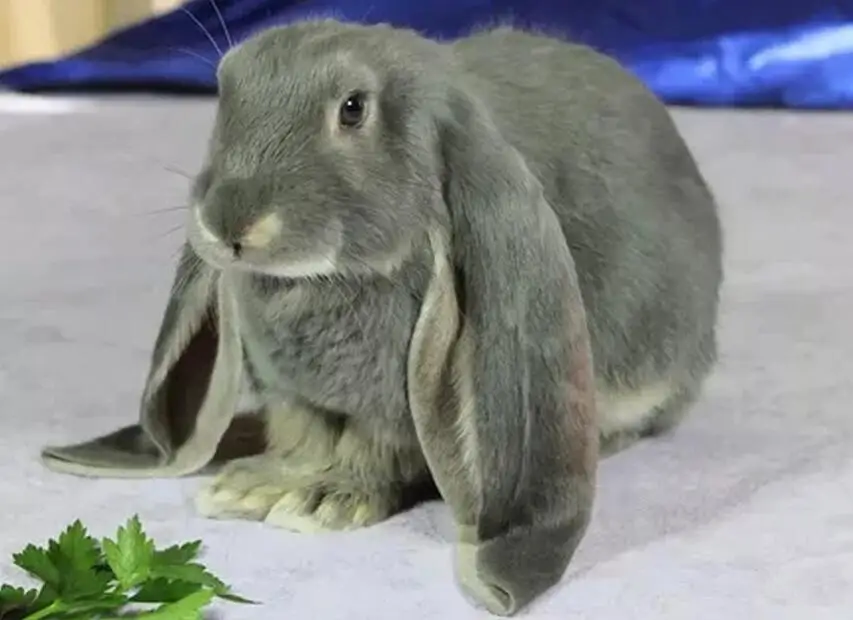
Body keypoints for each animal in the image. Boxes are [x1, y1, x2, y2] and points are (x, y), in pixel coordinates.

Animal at [47, 18, 723, 616]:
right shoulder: (295, 398)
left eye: (353, 109)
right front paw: (259, 484)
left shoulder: (392, 410)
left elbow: (372, 454)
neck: (325, 277)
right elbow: (302, 436)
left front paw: (325, 500)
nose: (228, 224)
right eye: (225, 91)